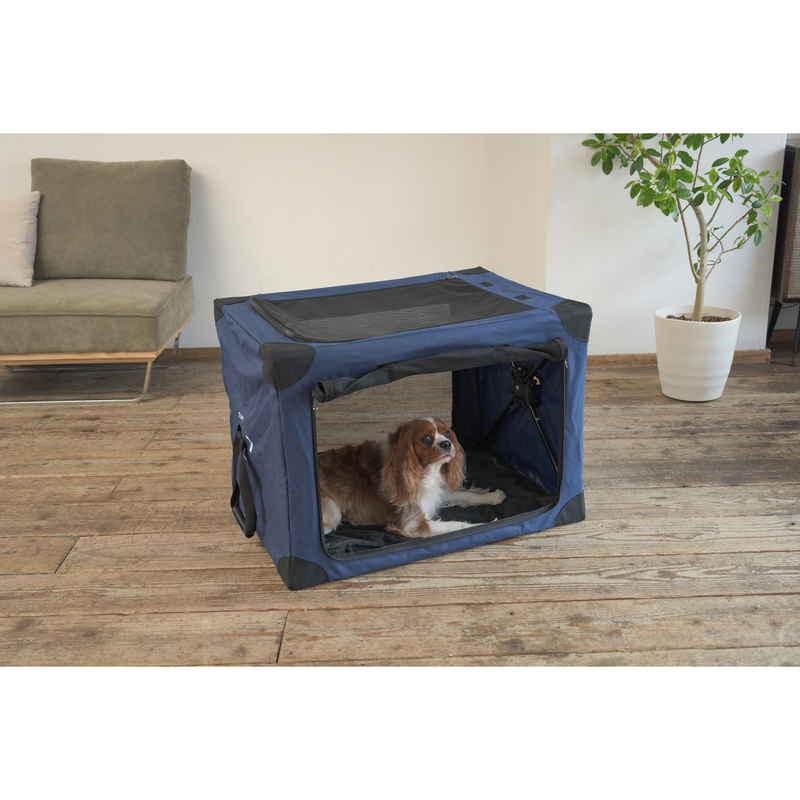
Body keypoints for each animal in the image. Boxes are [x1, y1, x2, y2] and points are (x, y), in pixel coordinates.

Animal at [317, 417, 505, 538]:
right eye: (427, 438)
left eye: (447, 434)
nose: (447, 444)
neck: (425, 471)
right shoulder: (413, 524)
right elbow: (458, 525)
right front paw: (486, 526)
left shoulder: (434, 494)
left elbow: (465, 494)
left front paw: (492, 496)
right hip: (332, 512)